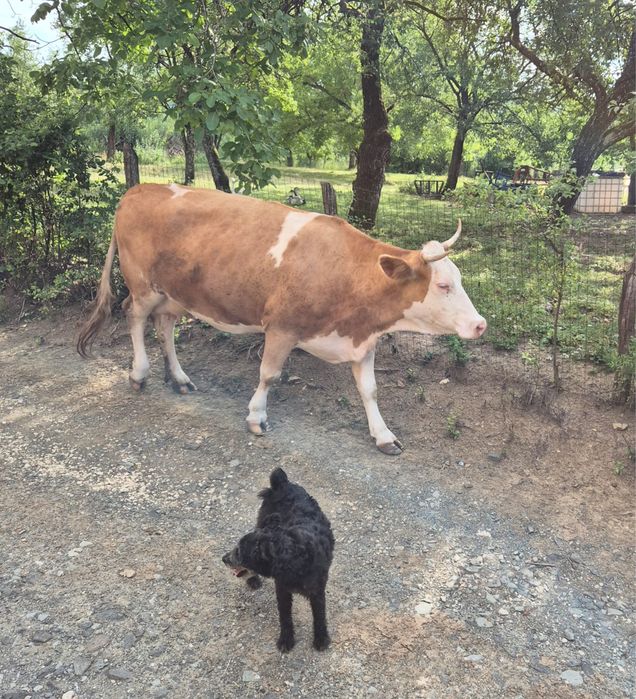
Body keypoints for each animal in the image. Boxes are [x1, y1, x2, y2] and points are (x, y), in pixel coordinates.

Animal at [77, 183, 486, 455]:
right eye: (444, 285)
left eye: (460, 279)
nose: (480, 323)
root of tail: (139, 188)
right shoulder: (281, 326)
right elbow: (269, 374)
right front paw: (256, 417)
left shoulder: (361, 339)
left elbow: (369, 389)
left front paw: (383, 435)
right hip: (142, 284)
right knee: (133, 316)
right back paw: (139, 373)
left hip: (176, 294)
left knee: (164, 327)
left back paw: (179, 379)